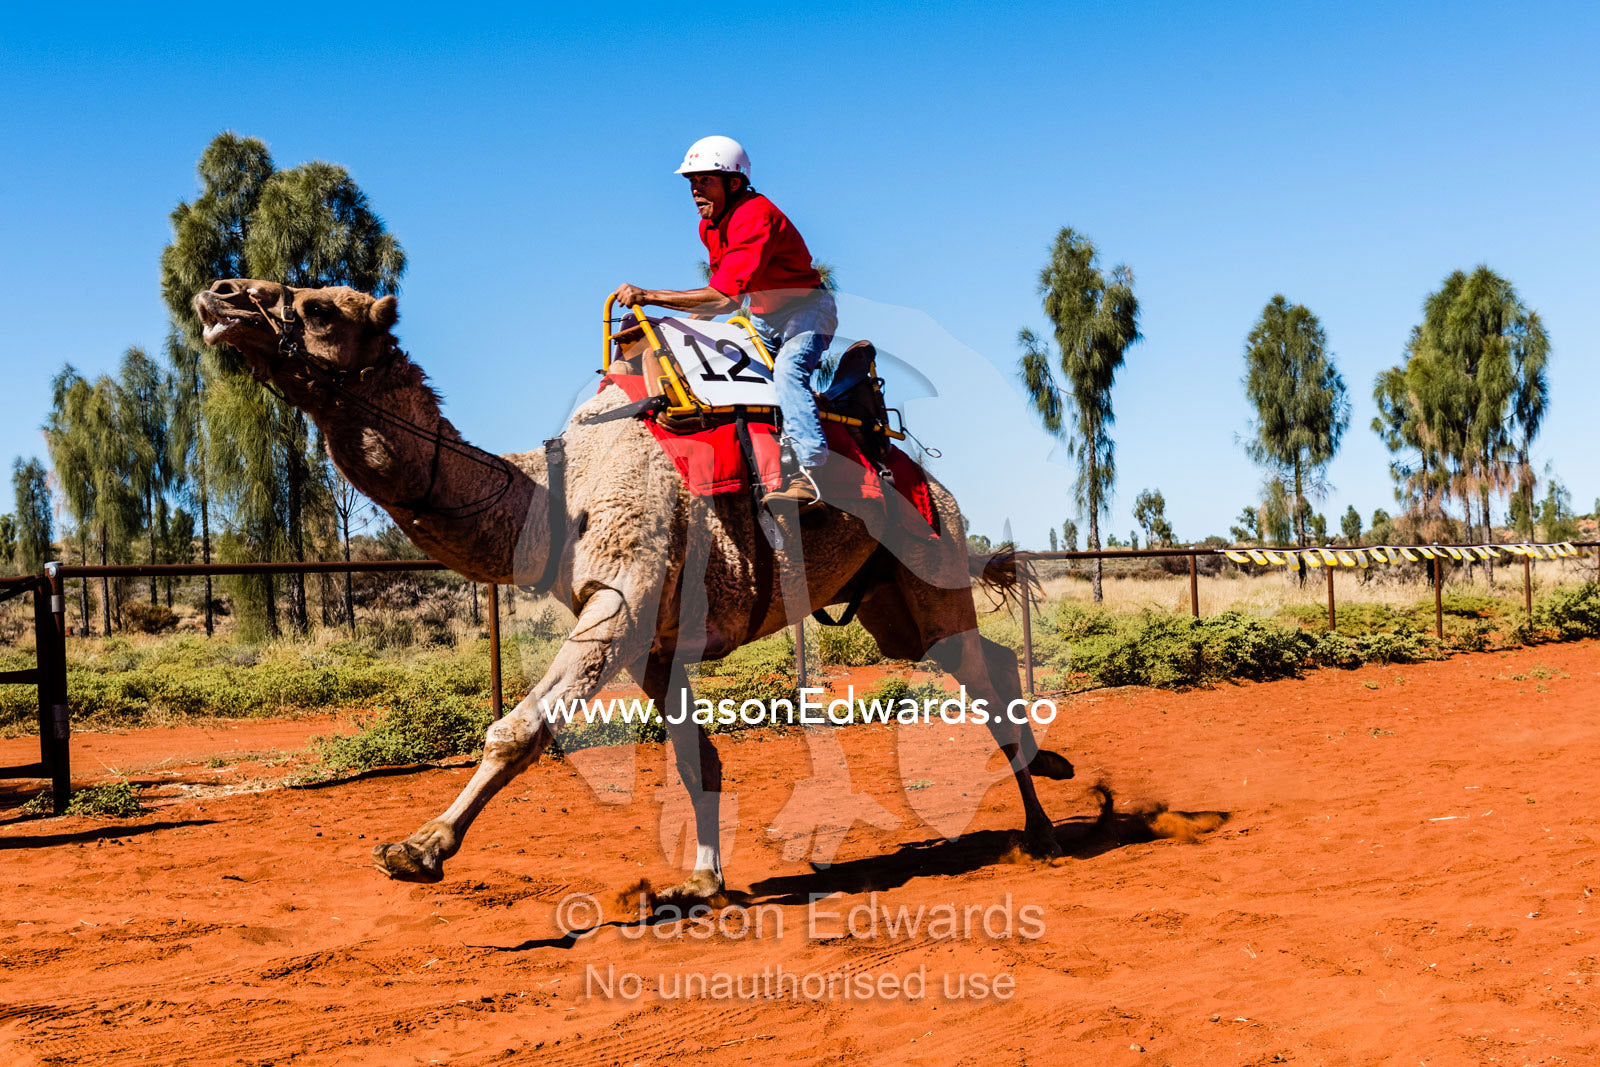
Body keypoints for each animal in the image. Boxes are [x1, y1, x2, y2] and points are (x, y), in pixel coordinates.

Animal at [192, 278, 1075, 904]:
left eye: (318, 307)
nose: (219, 293)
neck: (554, 493)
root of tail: (932, 479)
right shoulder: (657, 634)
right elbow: (696, 757)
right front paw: (702, 880)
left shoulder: (618, 599)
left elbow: (516, 729)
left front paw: (418, 849)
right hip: (891, 601)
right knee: (979, 657)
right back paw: (1050, 775)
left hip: (929, 559)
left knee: (982, 672)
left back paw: (1042, 828)